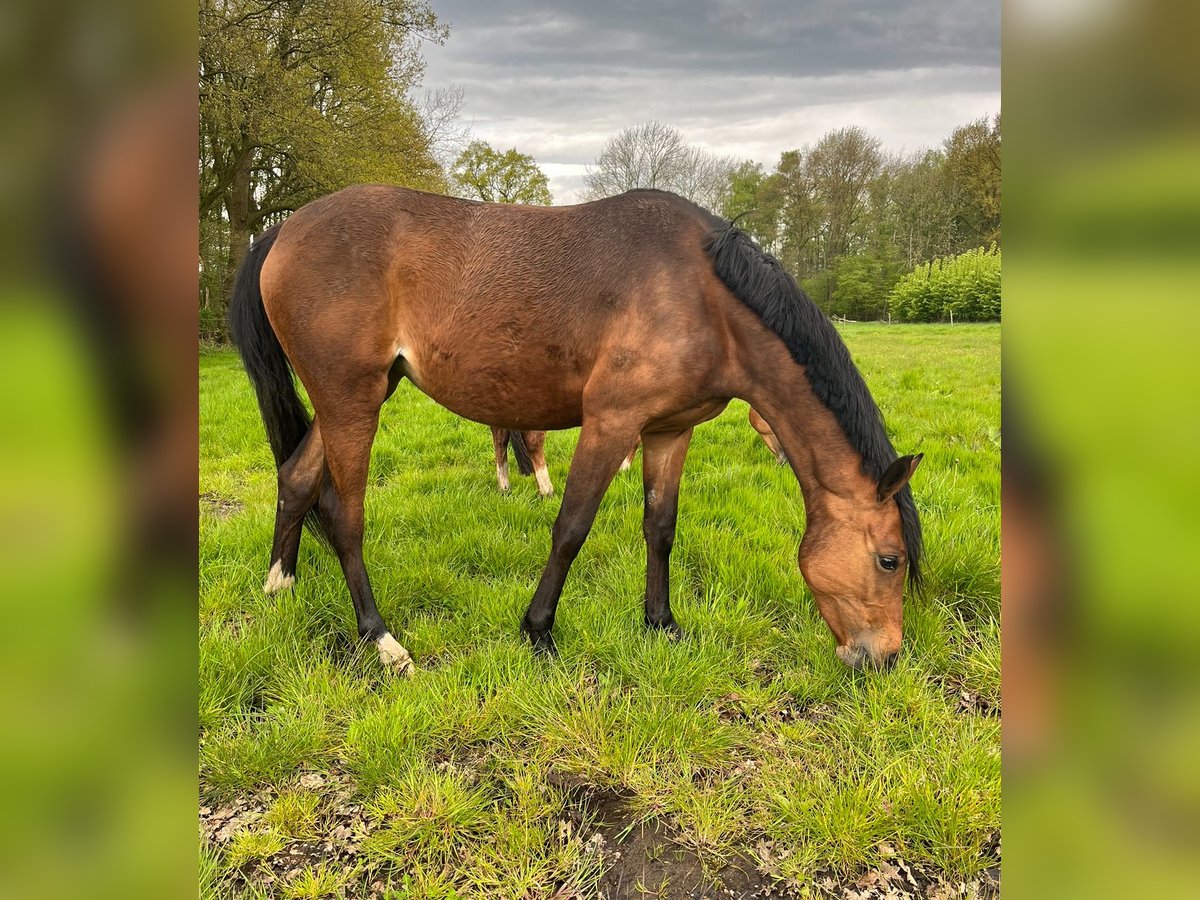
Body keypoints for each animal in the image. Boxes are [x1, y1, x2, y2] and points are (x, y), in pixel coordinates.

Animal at [231, 184, 926, 676]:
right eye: (889, 560)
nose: (885, 657)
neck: (704, 295)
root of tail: (282, 229)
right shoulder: (611, 423)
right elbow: (570, 527)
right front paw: (538, 630)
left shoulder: (668, 432)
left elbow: (661, 527)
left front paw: (661, 623)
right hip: (351, 400)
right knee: (344, 514)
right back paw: (381, 641)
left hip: (357, 395)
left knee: (296, 479)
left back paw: (279, 585)